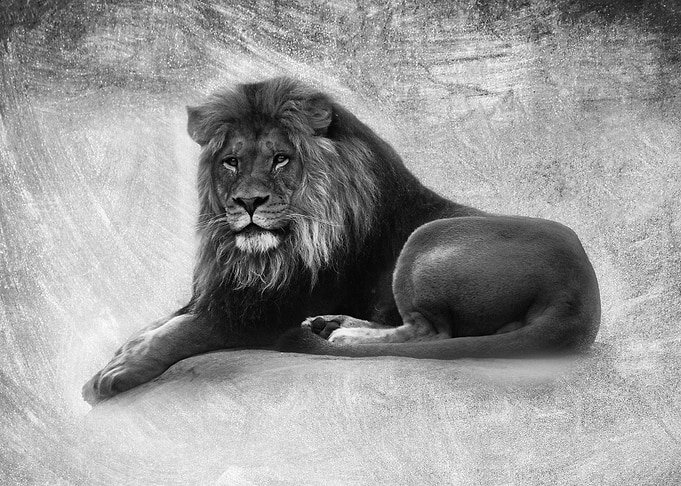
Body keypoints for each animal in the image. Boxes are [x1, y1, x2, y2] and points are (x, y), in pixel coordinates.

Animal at [82, 77, 600, 404]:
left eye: (280, 158)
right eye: (231, 161)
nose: (248, 203)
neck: (264, 255)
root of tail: (580, 293)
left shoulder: (261, 313)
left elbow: (183, 330)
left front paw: (116, 373)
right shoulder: (226, 293)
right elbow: (161, 323)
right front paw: (123, 351)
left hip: (425, 238)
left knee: (431, 333)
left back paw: (343, 333)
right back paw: (331, 324)